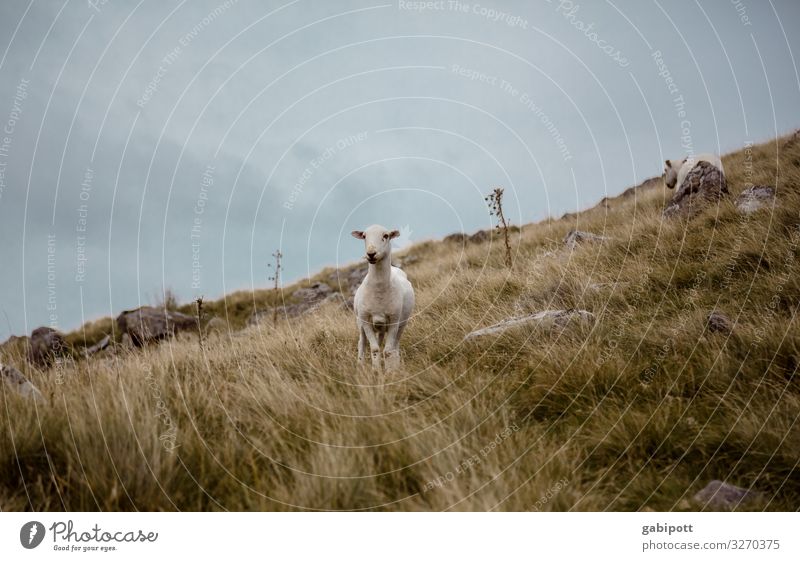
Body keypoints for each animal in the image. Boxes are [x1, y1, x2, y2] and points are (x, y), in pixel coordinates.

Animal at [350, 223, 416, 372]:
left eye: (385, 236)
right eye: (364, 236)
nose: (371, 254)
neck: (379, 289)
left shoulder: (394, 321)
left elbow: (388, 350)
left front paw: (390, 371)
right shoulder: (366, 321)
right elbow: (374, 349)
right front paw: (376, 372)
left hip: (401, 324)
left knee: (394, 346)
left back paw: (395, 365)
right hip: (360, 323)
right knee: (362, 343)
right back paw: (360, 365)